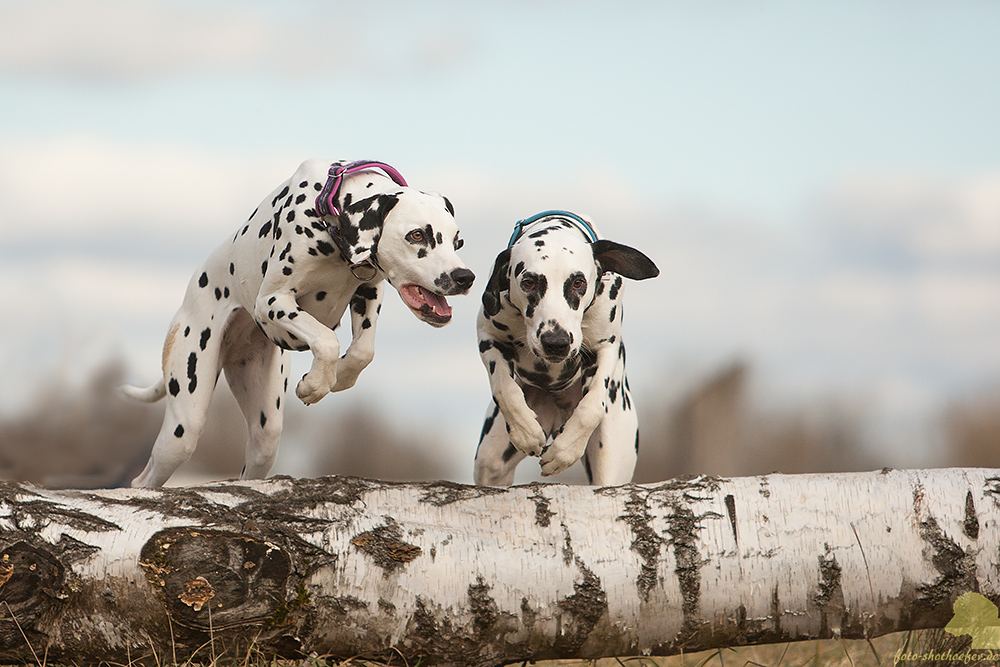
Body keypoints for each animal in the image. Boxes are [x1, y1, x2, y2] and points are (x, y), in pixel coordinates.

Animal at [122, 159, 476, 488]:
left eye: (457, 241)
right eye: (416, 235)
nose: (465, 277)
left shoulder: (370, 289)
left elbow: (363, 351)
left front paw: (338, 377)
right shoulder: (273, 301)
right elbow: (327, 340)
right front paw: (314, 385)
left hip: (265, 431)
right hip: (184, 423)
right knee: (145, 478)